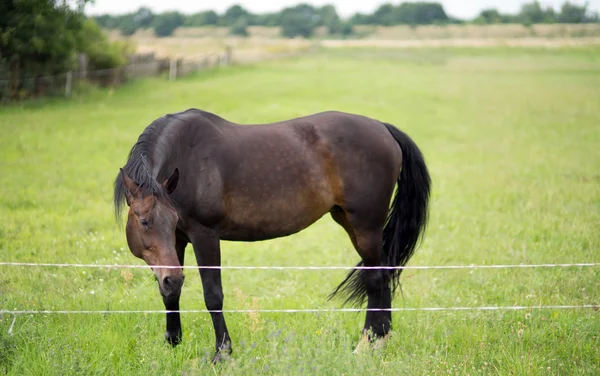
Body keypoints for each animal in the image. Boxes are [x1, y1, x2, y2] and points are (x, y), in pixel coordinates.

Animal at [112, 108, 432, 362]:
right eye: (145, 221)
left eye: (154, 220)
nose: (173, 277)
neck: (187, 157)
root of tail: (382, 128)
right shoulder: (177, 242)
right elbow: (170, 292)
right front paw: (172, 342)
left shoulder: (205, 235)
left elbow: (213, 295)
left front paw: (222, 353)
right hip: (351, 223)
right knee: (384, 271)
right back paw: (381, 340)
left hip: (366, 225)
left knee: (376, 279)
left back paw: (365, 345)